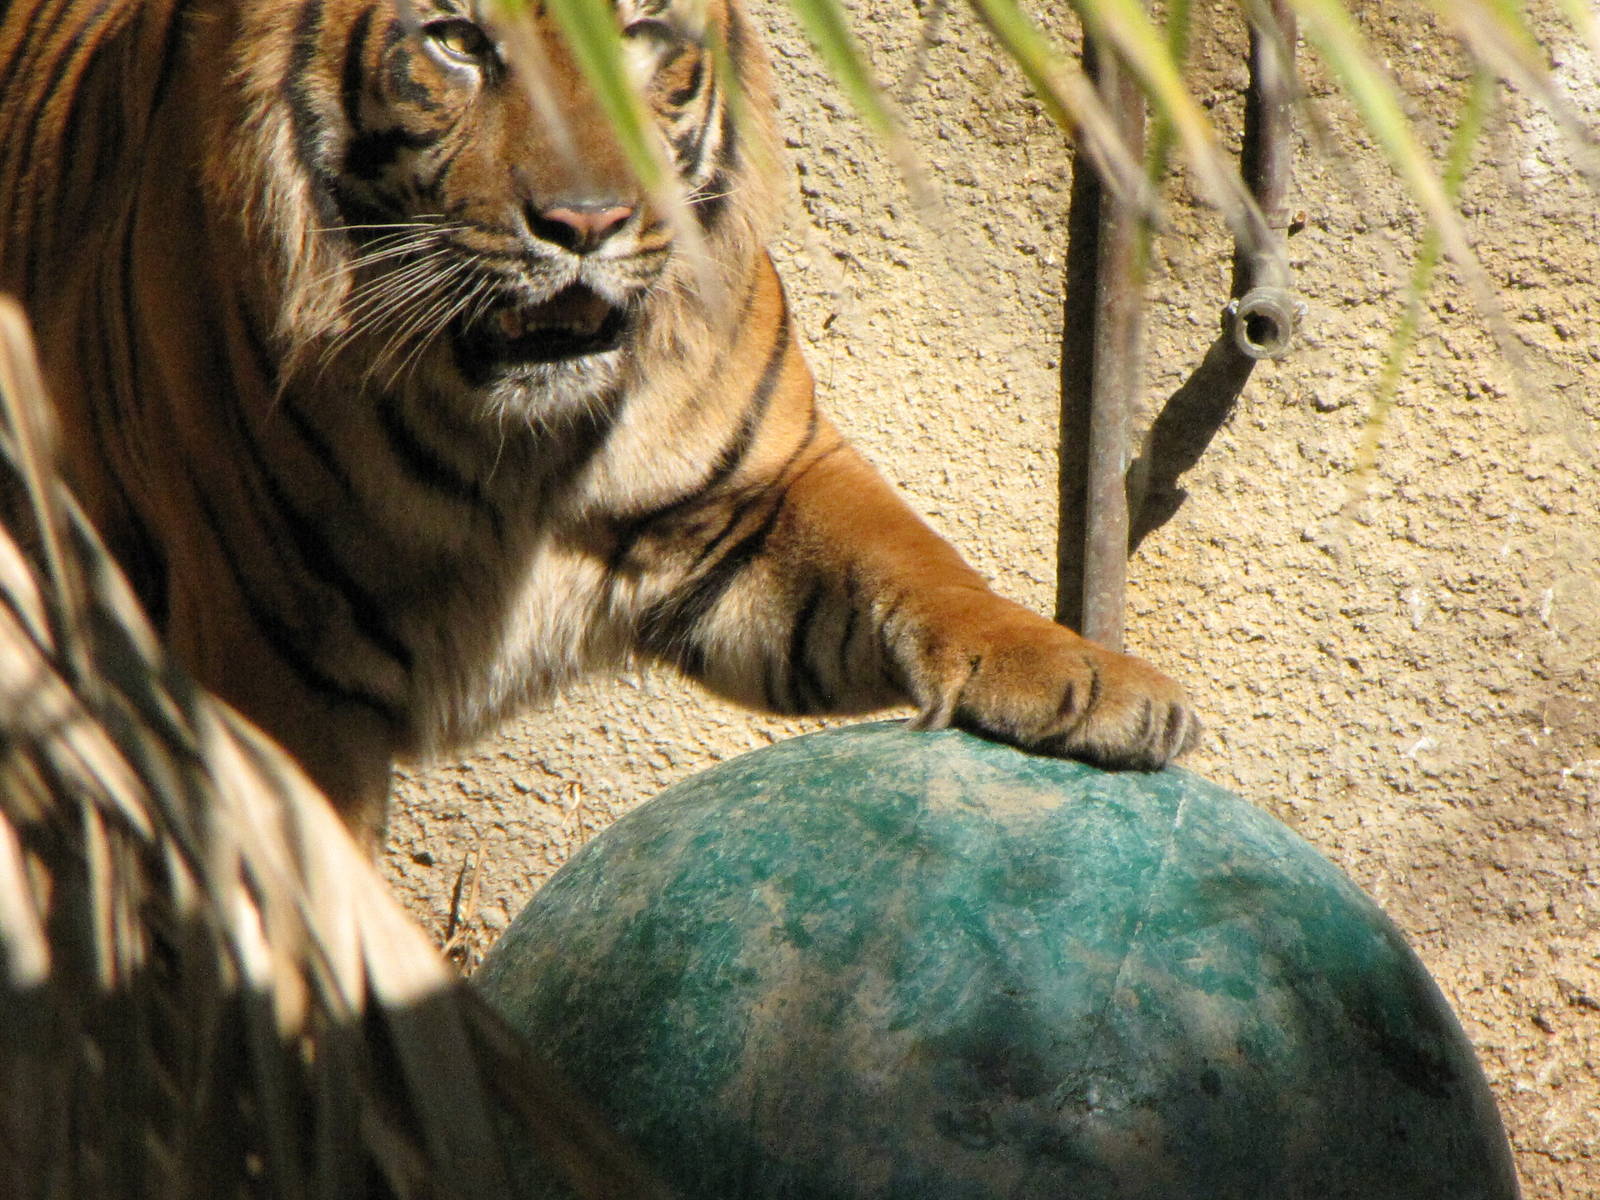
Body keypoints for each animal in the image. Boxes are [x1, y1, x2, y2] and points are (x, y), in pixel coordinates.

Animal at [0, 0, 1198, 842]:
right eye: (457, 43)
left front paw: (1090, 680)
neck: (518, 440)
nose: (586, 223)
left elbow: (923, 563)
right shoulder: (277, 667)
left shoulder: (763, 498)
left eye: (639, 34)